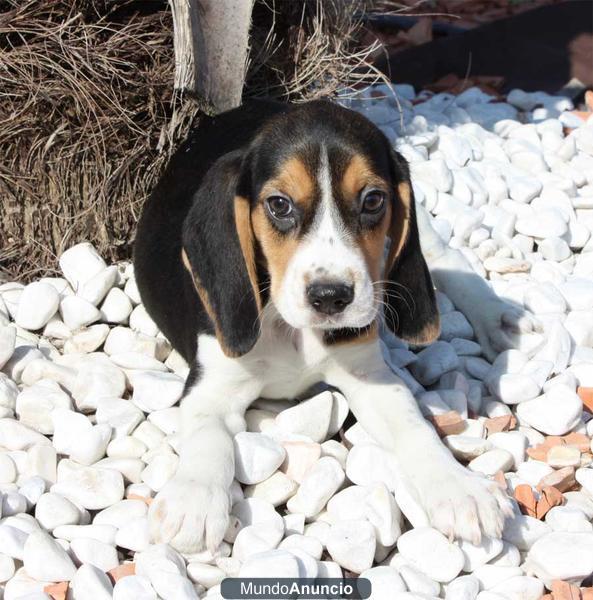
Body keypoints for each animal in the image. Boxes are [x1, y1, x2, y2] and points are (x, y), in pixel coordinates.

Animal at [135, 98, 512, 552]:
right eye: (279, 205)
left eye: (373, 200)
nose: (331, 297)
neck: (292, 330)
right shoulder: (213, 385)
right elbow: (209, 439)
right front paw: (192, 502)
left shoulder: (371, 376)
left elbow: (414, 427)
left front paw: (458, 489)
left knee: (444, 255)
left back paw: (496, 320)